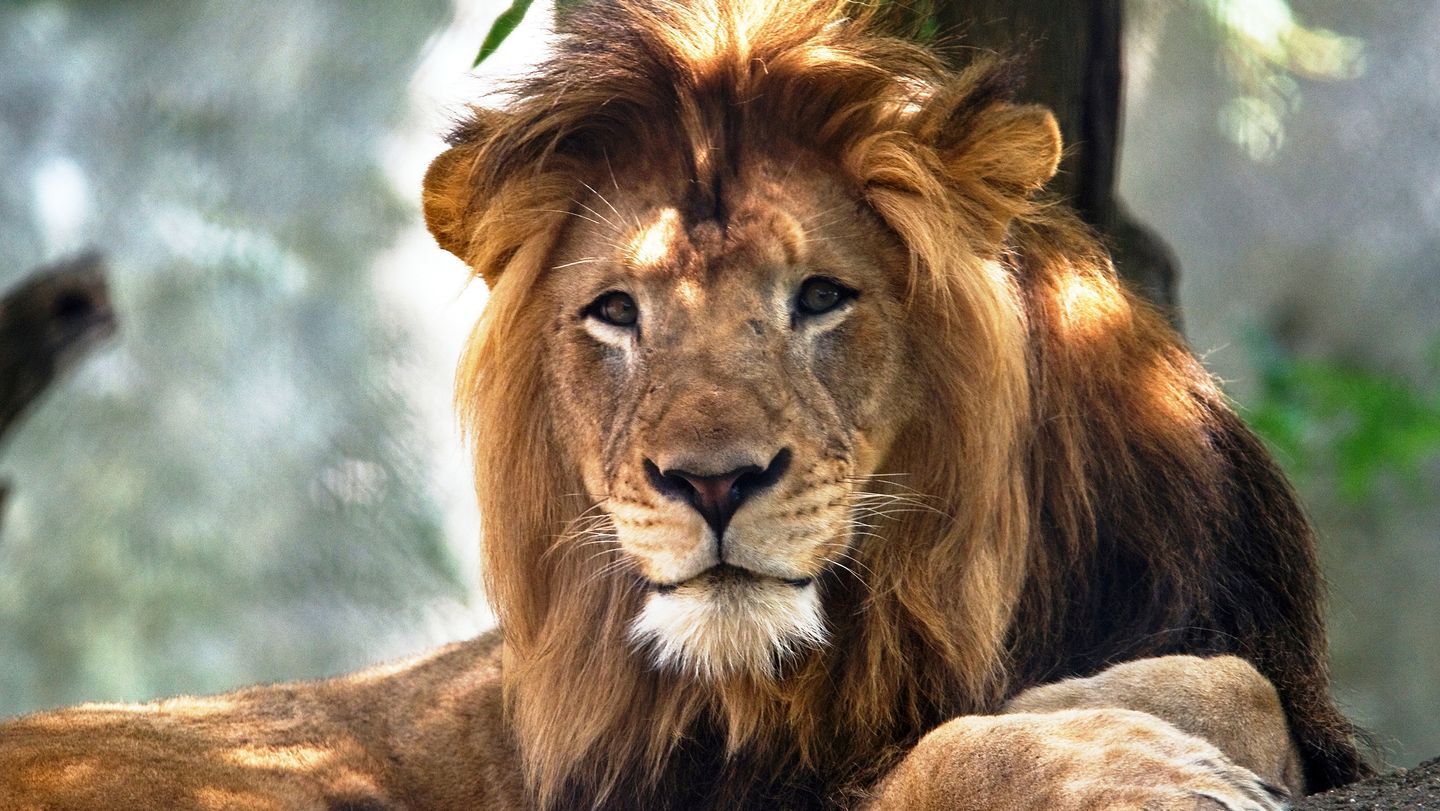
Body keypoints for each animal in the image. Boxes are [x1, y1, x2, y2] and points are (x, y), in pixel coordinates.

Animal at [0, 1, 1370, 809]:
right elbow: (951, 754)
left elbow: (1231, 682)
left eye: (821, 296)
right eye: (615, 311)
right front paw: (1120, 760)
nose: (710, 482)